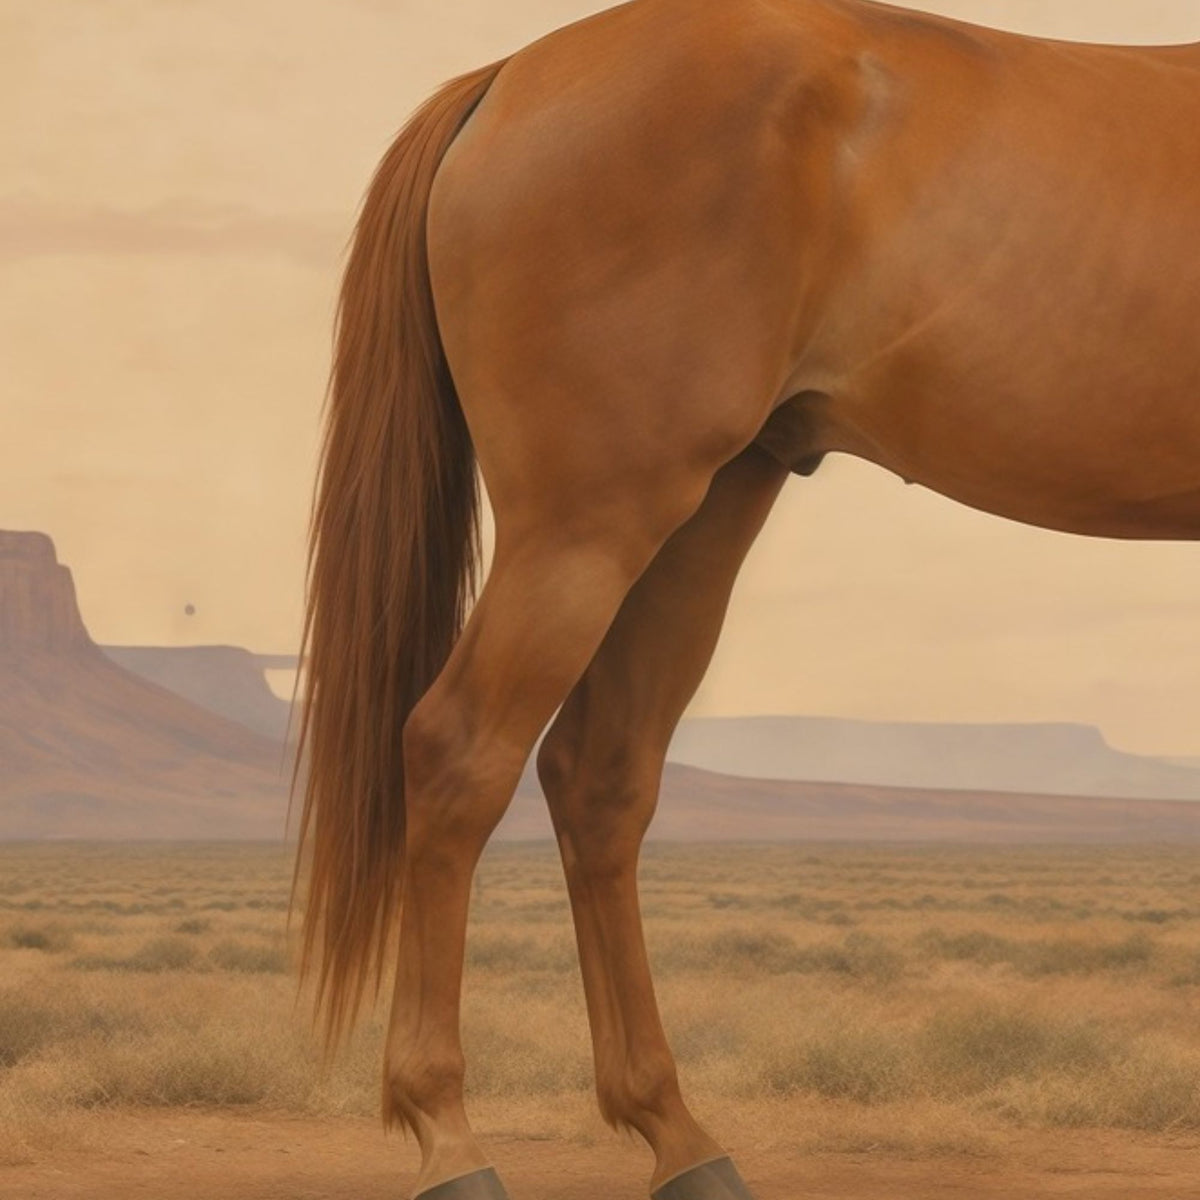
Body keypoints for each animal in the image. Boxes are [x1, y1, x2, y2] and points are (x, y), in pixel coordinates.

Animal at [291, 1, 1200, 1196]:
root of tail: (508, 77)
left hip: (702, 513)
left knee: (599, 776)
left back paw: (678, 1136)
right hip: (589, 521)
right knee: (459, 753)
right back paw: (450, 1138)